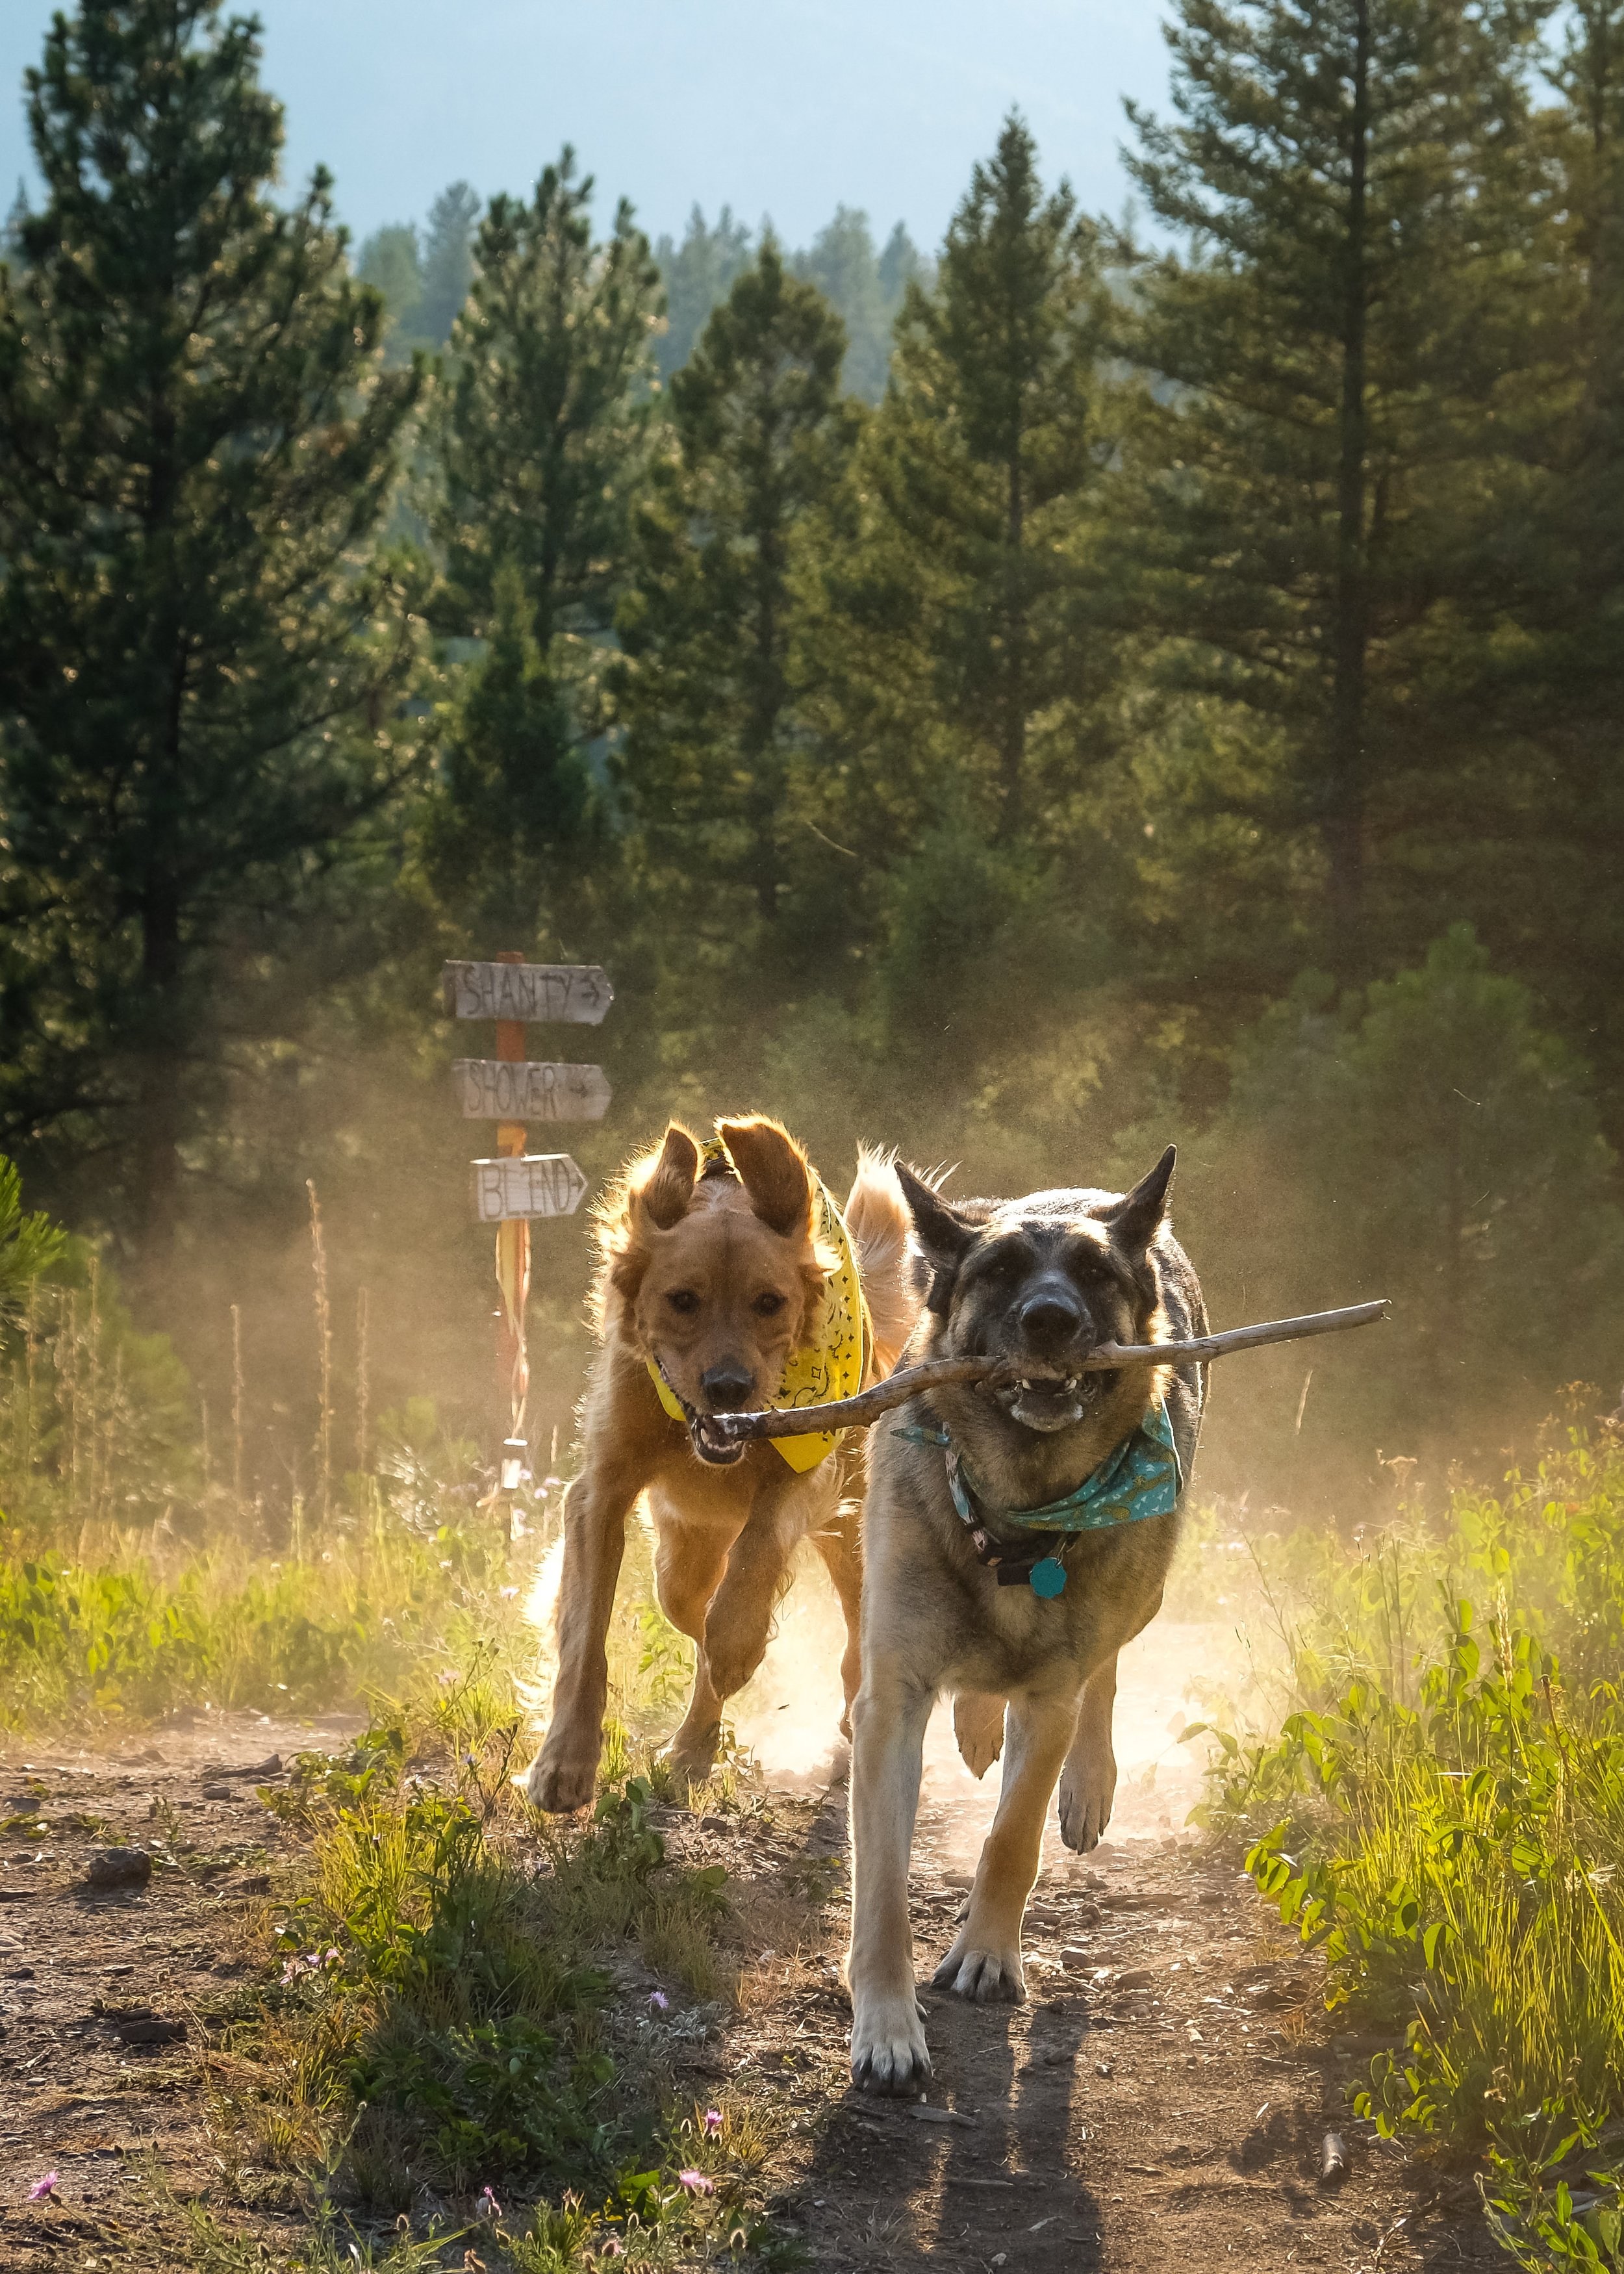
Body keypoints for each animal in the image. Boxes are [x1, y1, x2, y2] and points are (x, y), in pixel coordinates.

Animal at [846, 1146, 1200, 2083]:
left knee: (1104, 1673)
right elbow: (882, 1887)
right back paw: (974, 1724)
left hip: (1139, 1597)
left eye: (1094, 1273)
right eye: (999, 1272)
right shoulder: (889, 1701)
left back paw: (1087, 1783)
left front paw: (986, 1953)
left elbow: (1012, 1836)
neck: (1015, 1521)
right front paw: (886, 2025)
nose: (1048, 1319)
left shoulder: (1048, 1701)